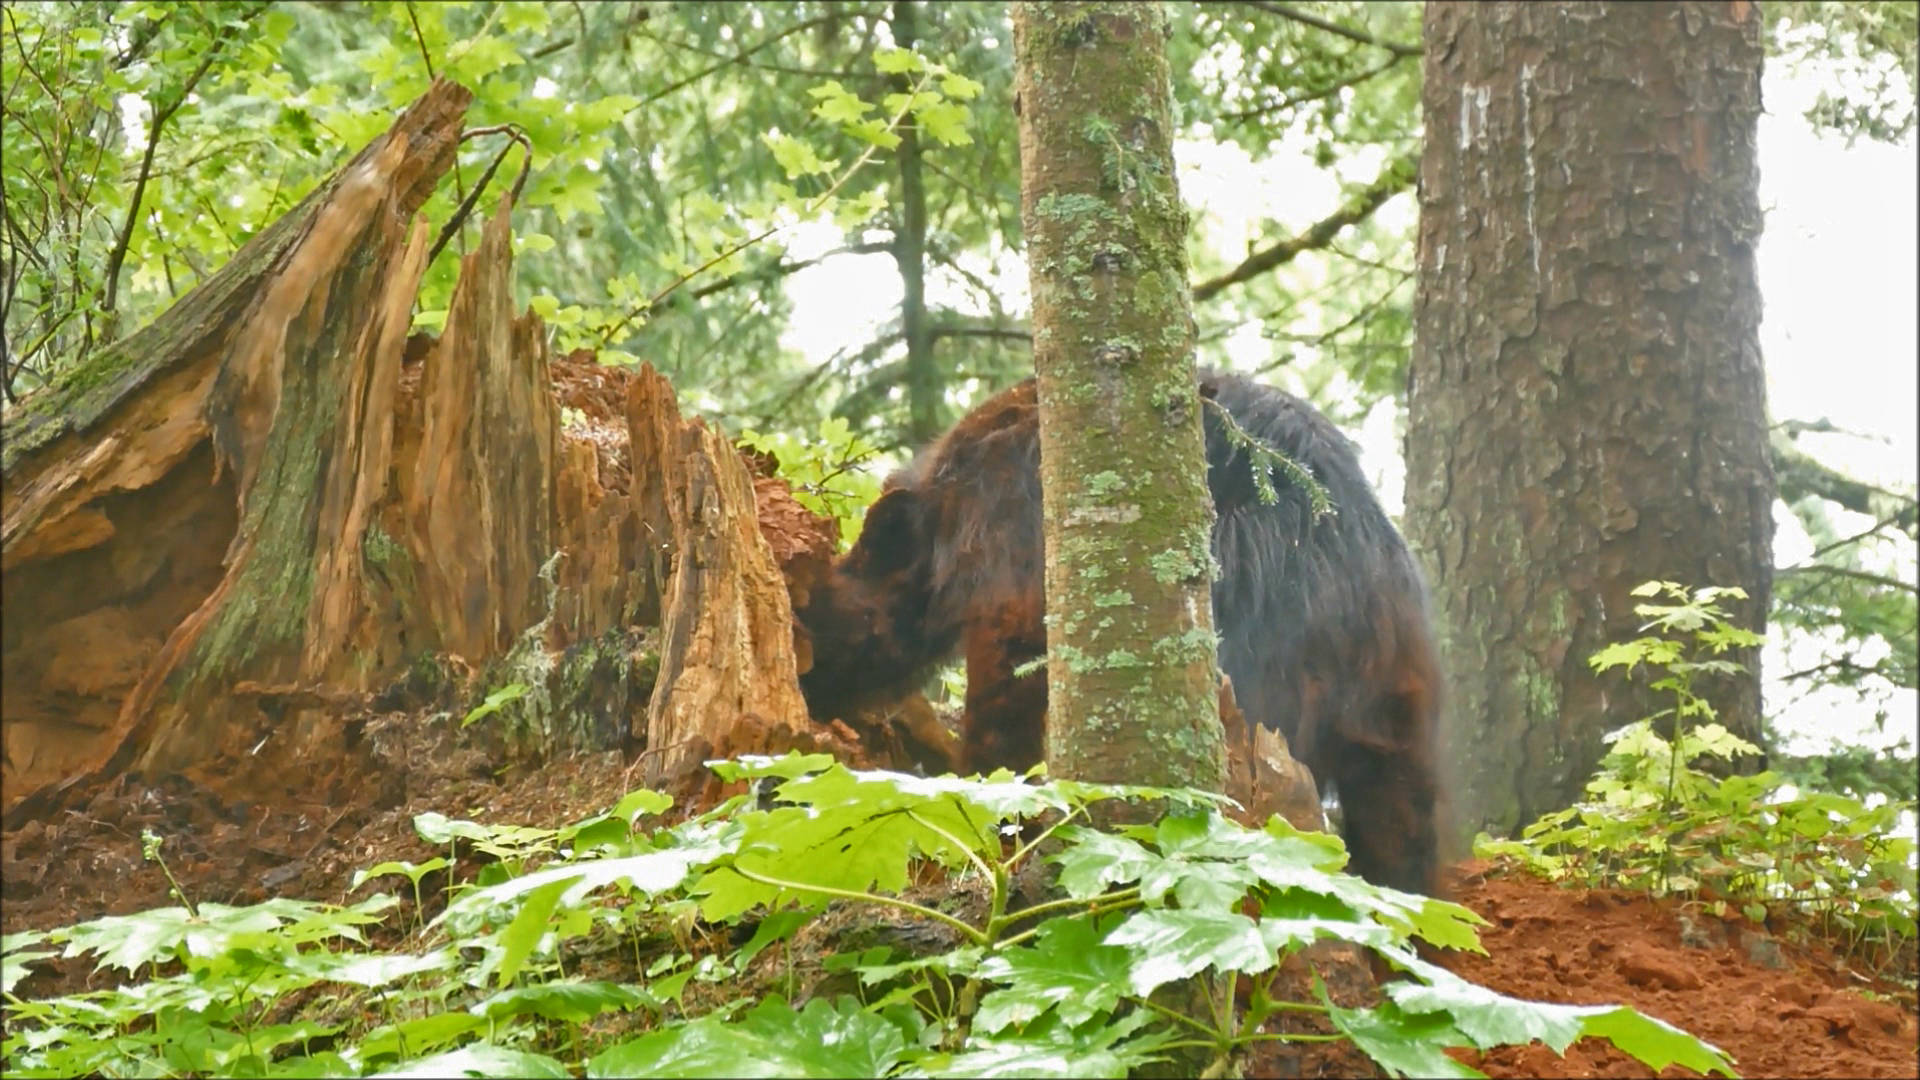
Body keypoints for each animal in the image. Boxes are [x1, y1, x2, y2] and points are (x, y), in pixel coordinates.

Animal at [791, 368, 1443, 891]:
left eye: (817, 617)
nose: (810, 687)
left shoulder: (1013, 551)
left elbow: (1011, 674)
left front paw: (984, 782)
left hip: (1251, 612)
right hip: (1396, 689)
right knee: (1399, 812)